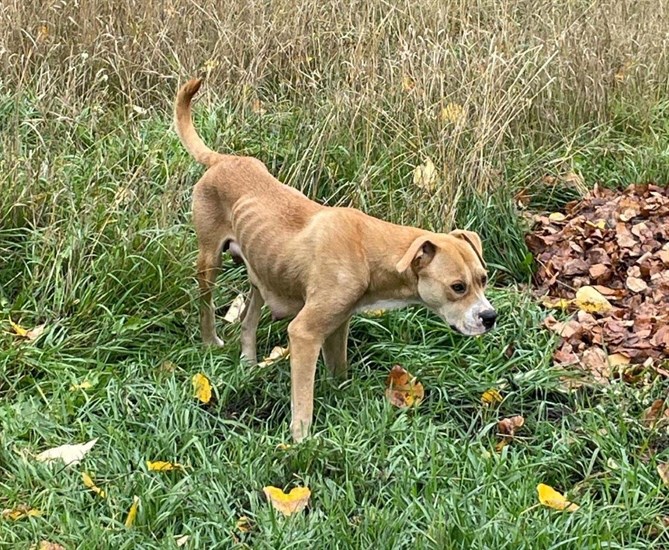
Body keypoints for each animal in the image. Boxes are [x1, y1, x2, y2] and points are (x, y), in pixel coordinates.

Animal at [174, 78, 496, 444]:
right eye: (458, 287)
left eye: (484, 279)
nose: (490, 317)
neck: (369, 249)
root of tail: (224, 159)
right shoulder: (304, 334)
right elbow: (304, 400)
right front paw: (300, 442)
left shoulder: (339, 322)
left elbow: (339, 370)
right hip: (209, 261)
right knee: (206, 306)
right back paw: (210, 342)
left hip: (262, 273)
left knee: (248, 321)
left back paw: (248, 362)